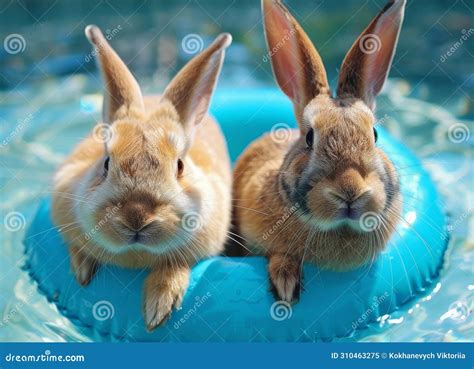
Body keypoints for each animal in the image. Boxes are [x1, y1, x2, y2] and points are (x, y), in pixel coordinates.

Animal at [51, 26, 232, 330]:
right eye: (106, 163)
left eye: (179, 166)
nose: (136, 217)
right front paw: (82, 271)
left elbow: (174, 266)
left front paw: (158, 307)